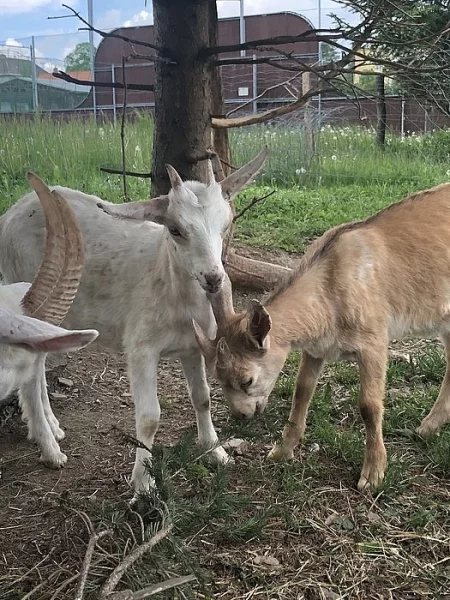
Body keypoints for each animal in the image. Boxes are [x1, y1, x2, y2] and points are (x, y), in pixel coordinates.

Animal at [194, 184, 450, 492]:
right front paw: (282, 451)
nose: (241, 415)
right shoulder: (316, 348)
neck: (332, 286)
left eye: (247, 380)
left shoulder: (374, 340)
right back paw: (427, 428)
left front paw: (373, 473)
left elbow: (369, 405)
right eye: (217, 378)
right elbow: (302, 391)